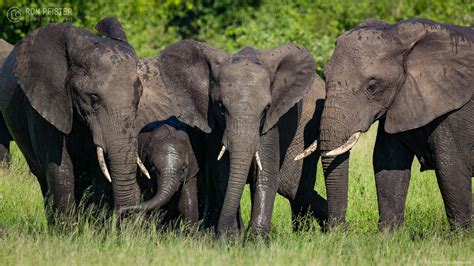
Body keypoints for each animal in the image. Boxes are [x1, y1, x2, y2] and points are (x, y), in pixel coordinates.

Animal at [0, 17, 152, 223]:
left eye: (138, 97)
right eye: (94, 98)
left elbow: (98, 173)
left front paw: (92, 228)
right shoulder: (45, 105)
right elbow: (60, 171)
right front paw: (66, 229)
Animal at [131, 39, 328, 237]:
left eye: (266, 108)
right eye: (220, 106)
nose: (231, 230)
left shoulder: (273, 122)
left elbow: (265, 173)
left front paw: (256, 240)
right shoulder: (214, 123)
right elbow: (223, 173)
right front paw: (230, 238)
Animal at [298, 18, 472, 231]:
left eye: (372, 87)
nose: (340, 230)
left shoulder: (452, 108)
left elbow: (451, 166)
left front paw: (462, 236)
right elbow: (388, 162)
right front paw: (390, 235)